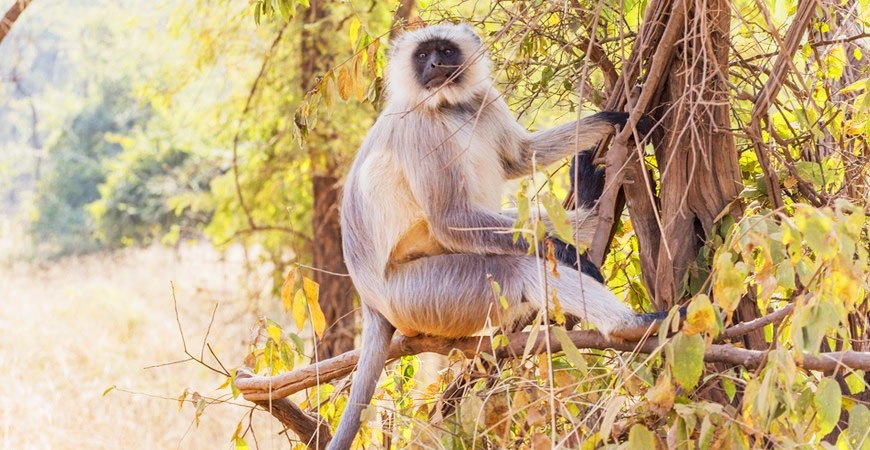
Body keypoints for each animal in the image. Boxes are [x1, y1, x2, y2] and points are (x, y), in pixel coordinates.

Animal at [330, 24, 664, 450]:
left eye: (444, 51)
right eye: (423, 56)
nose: (434, 66)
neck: (449, 106)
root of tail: (371, 303)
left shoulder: (483, 100)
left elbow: (520, 156)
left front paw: (608, 119)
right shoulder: (418, 127)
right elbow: (450, 219)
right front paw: (569, 255)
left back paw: (589, 210)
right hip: (421, 296)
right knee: (518, 267)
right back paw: (629, 324)